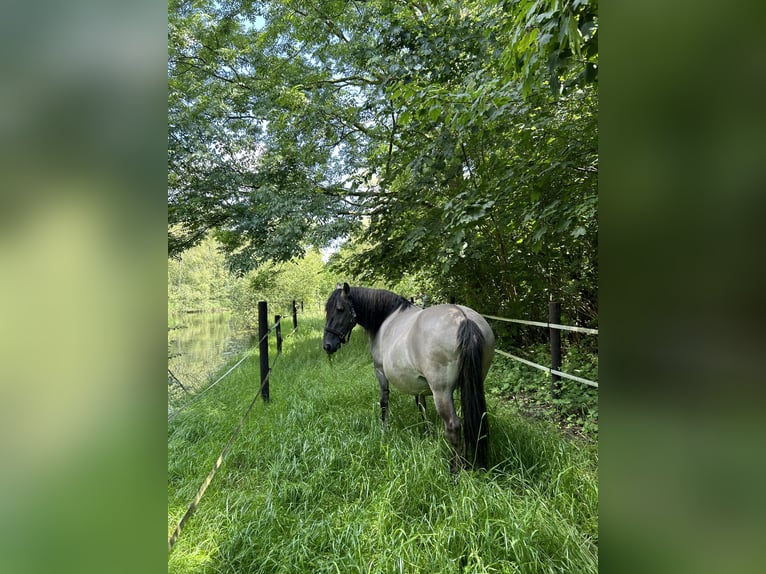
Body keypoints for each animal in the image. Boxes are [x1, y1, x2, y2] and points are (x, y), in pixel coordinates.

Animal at [324, 284, 498, 472]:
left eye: (340, 309)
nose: (327, 345)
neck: (386, 319)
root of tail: (463, 317)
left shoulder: (379, 371)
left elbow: (384, 402)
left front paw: (384, 430)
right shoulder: (418, 384)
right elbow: (421, 406)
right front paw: (426, 433)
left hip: (442, 392)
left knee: (453, 426)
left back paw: (454, 470)